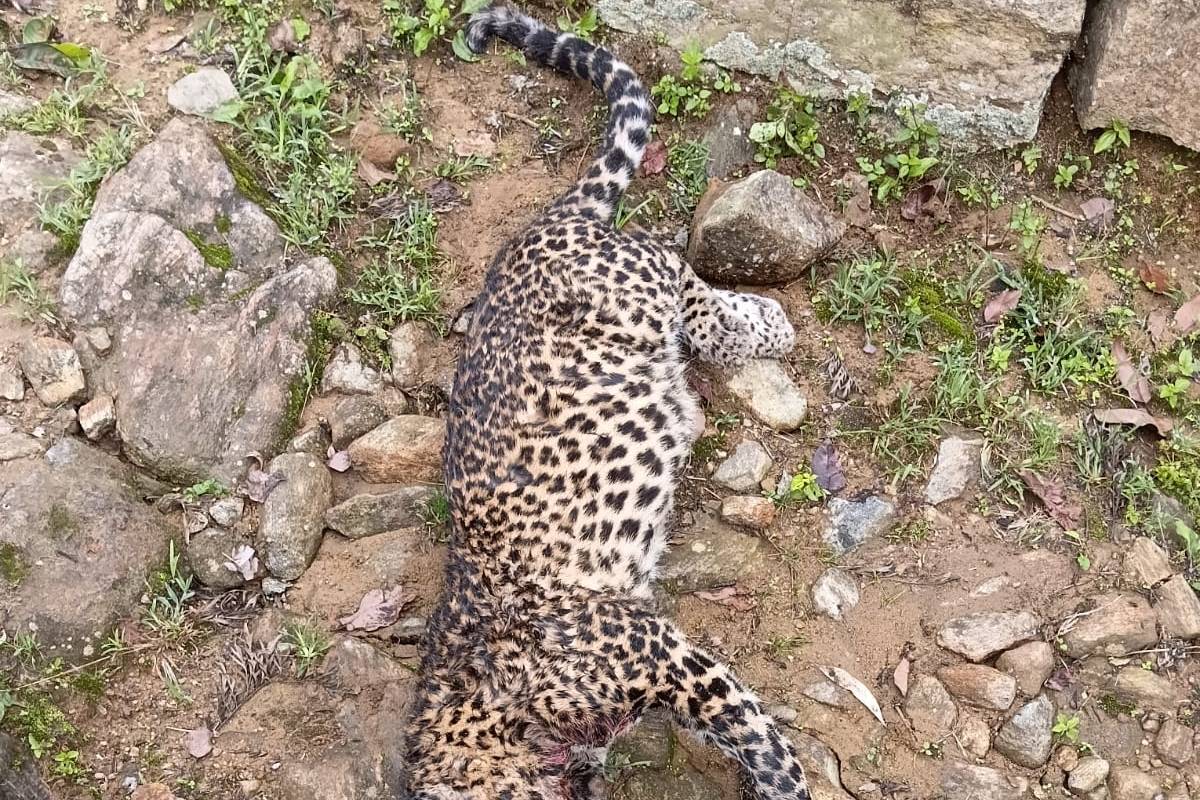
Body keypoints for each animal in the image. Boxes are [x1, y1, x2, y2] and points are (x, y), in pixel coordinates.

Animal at [401, 5, 810, 799]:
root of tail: (540, 228)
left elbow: (751, 729)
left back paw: (758, 325)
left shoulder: (652, 649)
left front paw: (785, 785)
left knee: (672, 257)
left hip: (629, 284)